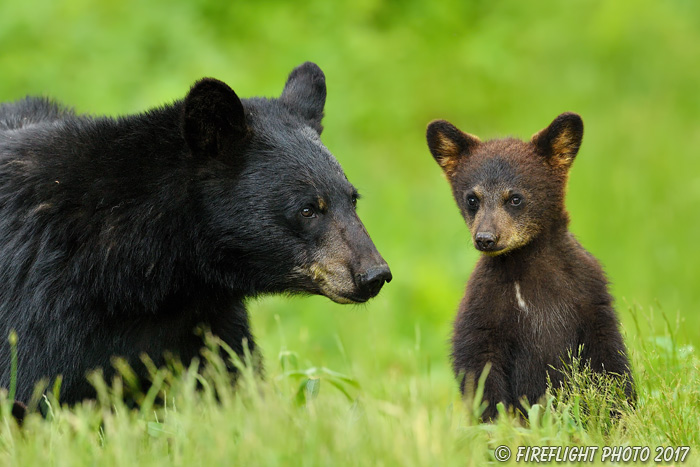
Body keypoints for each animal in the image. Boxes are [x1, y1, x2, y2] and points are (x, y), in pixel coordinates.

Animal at [426, 112, 636, 420]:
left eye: (515, 198)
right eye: (472, 198)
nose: (486, 238)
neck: (526, 265)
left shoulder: (589, 292)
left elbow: (608, 360)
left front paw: (619, 415)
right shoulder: (484, 303)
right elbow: (477, 361)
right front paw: (499, 422)